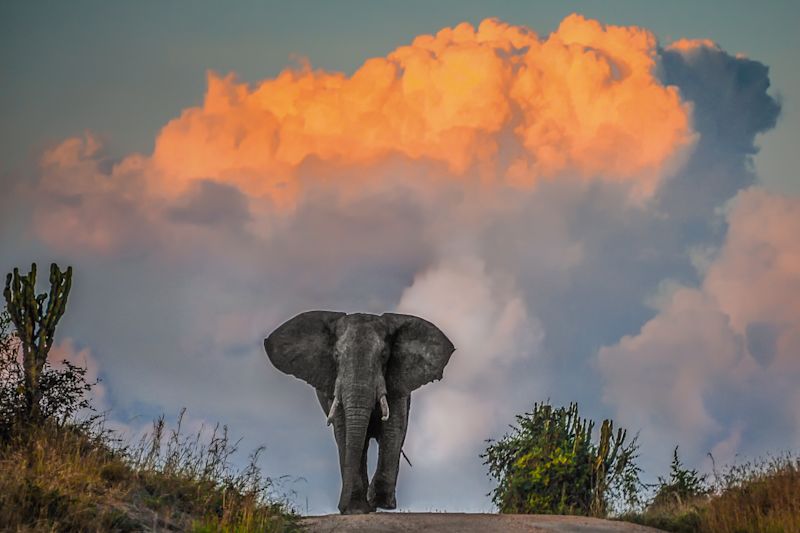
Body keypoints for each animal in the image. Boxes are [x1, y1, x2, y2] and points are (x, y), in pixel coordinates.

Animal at [260, 310, 450, 512]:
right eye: (336, 355)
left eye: (384, 355)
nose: (341, 508)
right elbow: (344, 432)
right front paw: (356, 509)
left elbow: (392, 430)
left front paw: (381, 503)